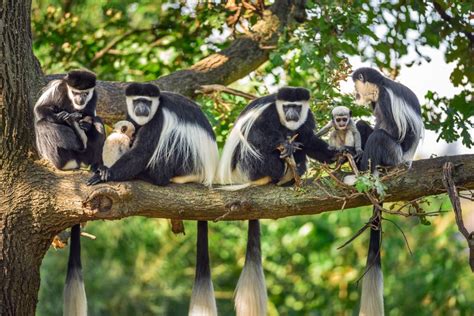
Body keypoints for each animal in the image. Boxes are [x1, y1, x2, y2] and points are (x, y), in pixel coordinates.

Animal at [86, 82, 219, 316]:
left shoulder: (158, 120)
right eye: (137, 101)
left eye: (147, 102)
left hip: (185, 160)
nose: (142, 109)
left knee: (170, 143)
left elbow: (142, 151)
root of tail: (206, 174)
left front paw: (106, 174)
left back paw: (151, 175)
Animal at [217, 86, 338, 316]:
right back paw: (280, 169)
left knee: (299, 146)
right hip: (249, 167)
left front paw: (338, 154)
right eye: (287, 106)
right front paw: (283, 144)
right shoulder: (267, 114)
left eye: (297, 107)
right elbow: (258, 135)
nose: (291, 114)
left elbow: (308, 140)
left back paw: (292, 173)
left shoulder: (307, 118)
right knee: (258, 147)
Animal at [350, 67, 424, 316]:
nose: (355, 95)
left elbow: (392, 129)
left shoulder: (385, 99)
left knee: (380, 136)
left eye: (356, 86)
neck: (381, 85)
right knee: (365, 127)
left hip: (393, 155)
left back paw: (364, 170)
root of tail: (406, 160)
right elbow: (370, 124)